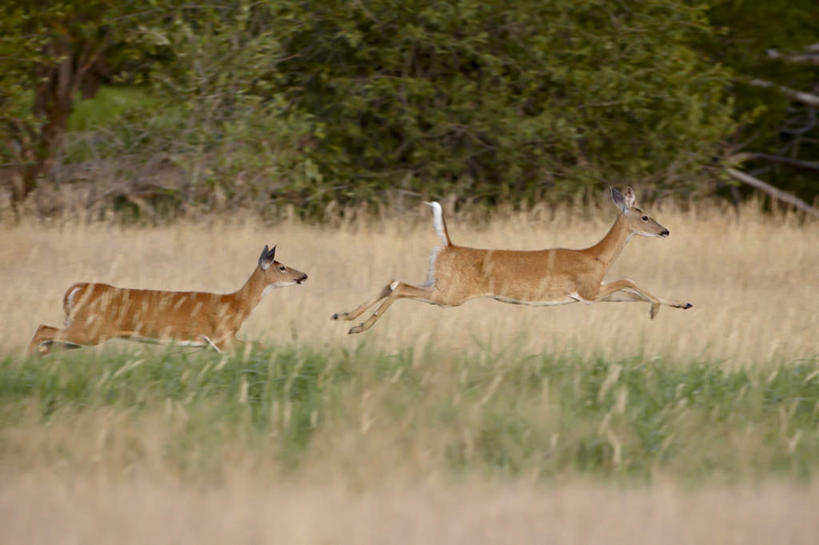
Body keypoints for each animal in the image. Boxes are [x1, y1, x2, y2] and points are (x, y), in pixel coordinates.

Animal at [27, 243, 308, 354]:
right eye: (282, 267)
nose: (303, 275)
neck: (234, 305)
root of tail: (75, 289)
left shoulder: (213, 344)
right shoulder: (221, 336)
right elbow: (259, 345)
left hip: (81, 329)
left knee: (49, 339)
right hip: (92, 329)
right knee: (42, 329)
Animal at [332, 186, 692, 332]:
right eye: (645, 216)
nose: (666, 231)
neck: (596, 257)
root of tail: (447, 245)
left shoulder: (591, 295)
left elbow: (630, 294)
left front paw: (679, 305)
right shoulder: (589, 288)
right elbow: (630, 281)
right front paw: (659, 309)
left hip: (436, 281)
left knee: (394, 281)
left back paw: (343, 316)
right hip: (450, 294)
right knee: (401, 288)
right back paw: (359, 327)